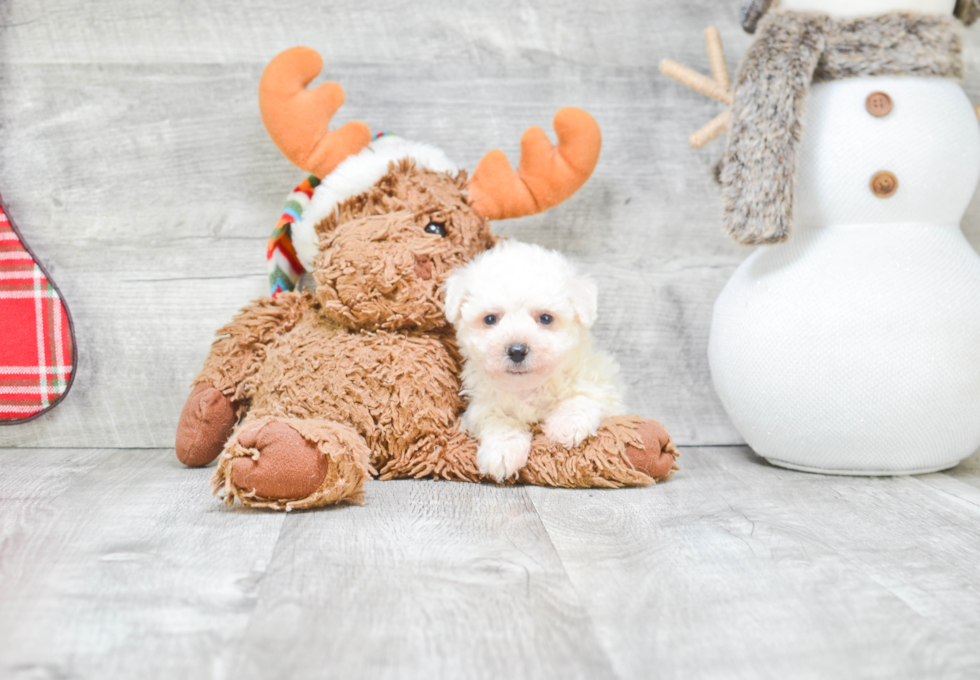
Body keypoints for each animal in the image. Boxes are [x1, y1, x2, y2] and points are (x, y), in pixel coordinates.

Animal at [442, 242, 620, 480]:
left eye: (545, 318)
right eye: (490, 319)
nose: (517, 350)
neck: (527, 388)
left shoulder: (601, 385)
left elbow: (582, 397)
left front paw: (567, 424)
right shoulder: (482, 406)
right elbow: (497, 420)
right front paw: (502, 452)